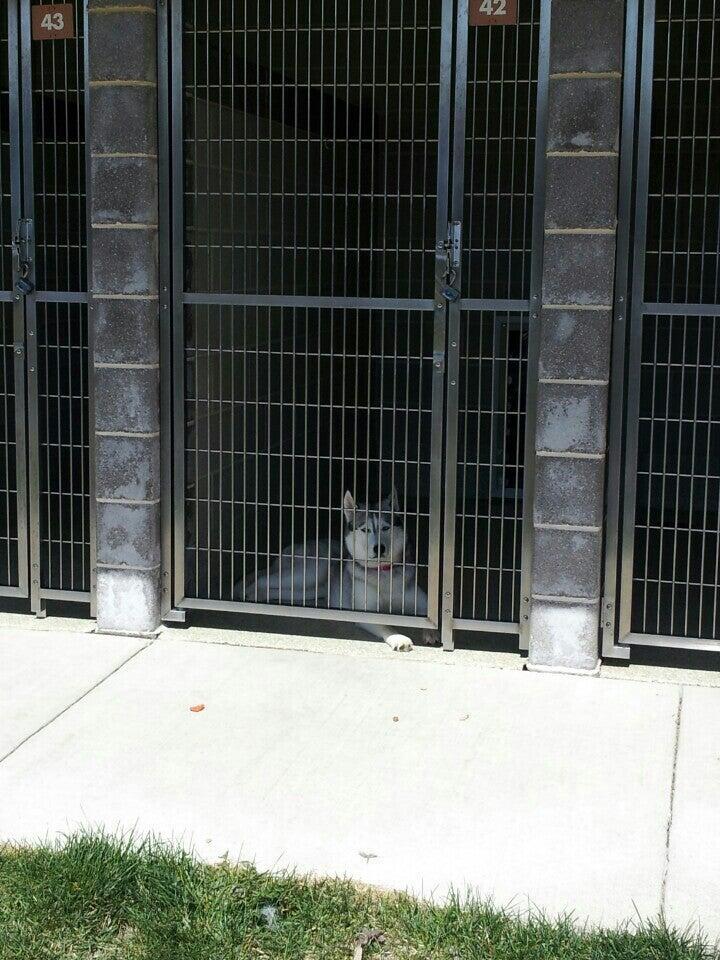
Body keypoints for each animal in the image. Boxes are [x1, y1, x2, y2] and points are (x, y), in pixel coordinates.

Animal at [239, 488, 437, 651]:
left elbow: (430, 619)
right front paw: (399, 638)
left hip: (310, 590)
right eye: (365, 530)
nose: (379, 548)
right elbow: (386, 625)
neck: (383, 573)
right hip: (309, 572)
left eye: (385, 528)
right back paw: (246, 595)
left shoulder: (421, 603)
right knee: (261, 579)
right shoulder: (366, 612)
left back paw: (260, 596)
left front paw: (431, 633)